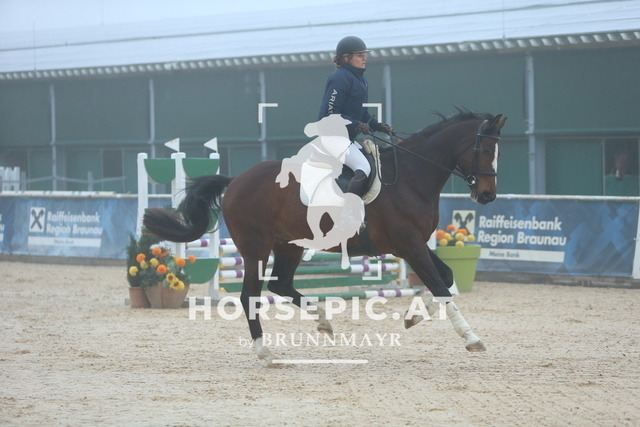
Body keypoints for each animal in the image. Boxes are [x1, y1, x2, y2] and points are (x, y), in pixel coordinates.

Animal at [143, 110, 507, 365]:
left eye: (497, 150)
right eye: (484, 148)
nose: (488, 195)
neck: (411, 177)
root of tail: (235, 181)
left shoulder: (413, 244)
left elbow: (445, 279)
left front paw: (414, 316)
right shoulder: (409, 245)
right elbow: (442, 288)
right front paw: (471, 338)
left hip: (288, 245)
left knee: (280, 285)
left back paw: (323, 322)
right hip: (255, 247)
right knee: (250, 296)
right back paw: (266, 354)